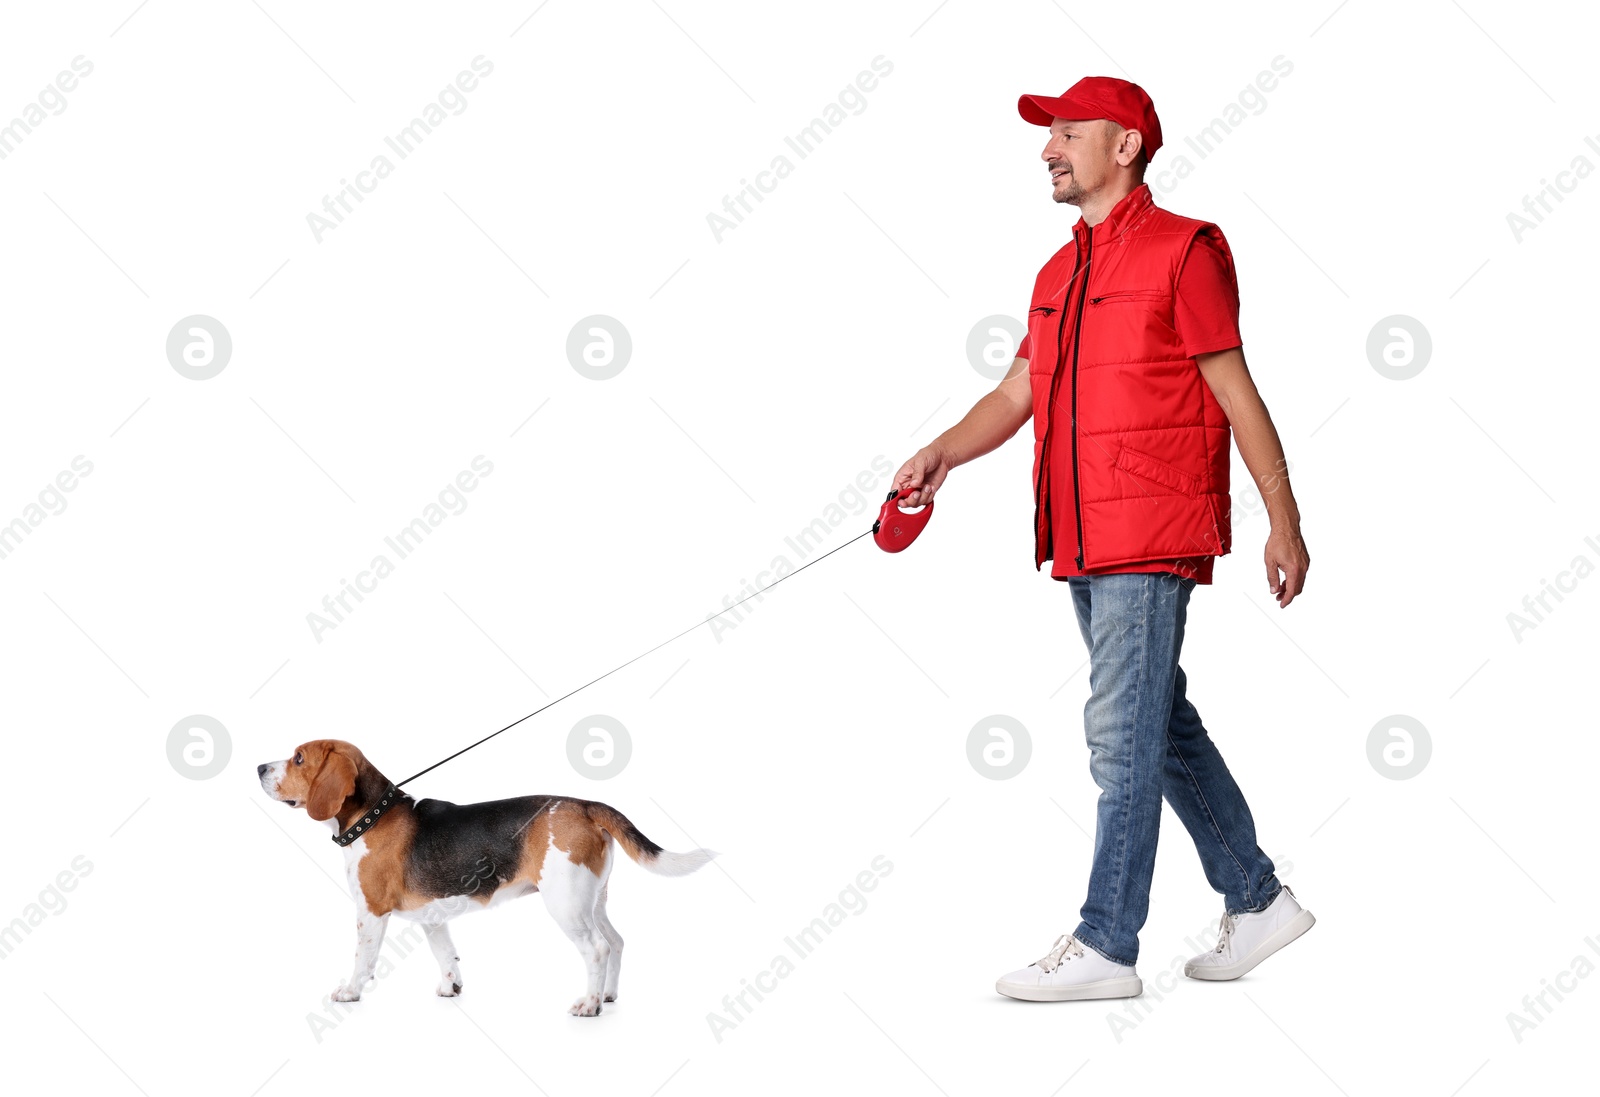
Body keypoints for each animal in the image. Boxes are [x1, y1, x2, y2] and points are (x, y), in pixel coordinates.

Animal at [257, 741, 713, 1017]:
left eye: (299, 758)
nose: (259, 765)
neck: (372, 816)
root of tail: (585, 805)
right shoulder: (433, 917)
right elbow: (446, 955)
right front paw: (450, 989)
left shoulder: (370, 910)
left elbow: (362, 958)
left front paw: (349, 992)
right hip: (592, 899)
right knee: (616, 941)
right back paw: (608, 995)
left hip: (565, 904)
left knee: (598, 949)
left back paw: (589, 1004)